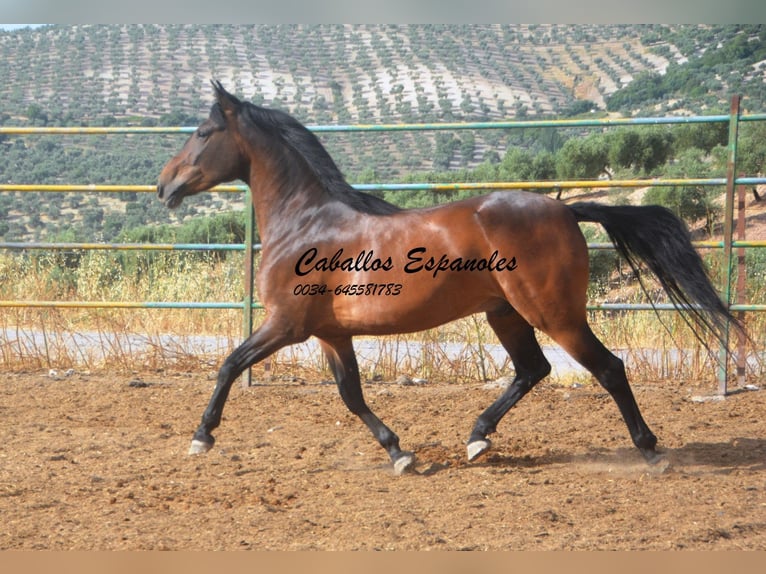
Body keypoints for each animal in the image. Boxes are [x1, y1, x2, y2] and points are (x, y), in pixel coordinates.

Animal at [157, 81, 740, 475]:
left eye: (203, 132)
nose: (164, 186)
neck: (307, 223)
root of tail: (566, 210)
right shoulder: (330, 334)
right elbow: (352, 395)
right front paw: (400, 453)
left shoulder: (286, 325)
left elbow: (228, 365)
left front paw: (201, 437)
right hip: (505, 313)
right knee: (533, 370)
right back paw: (477, 439)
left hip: (554, 313)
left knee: (608, 369)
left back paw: (651, 451)